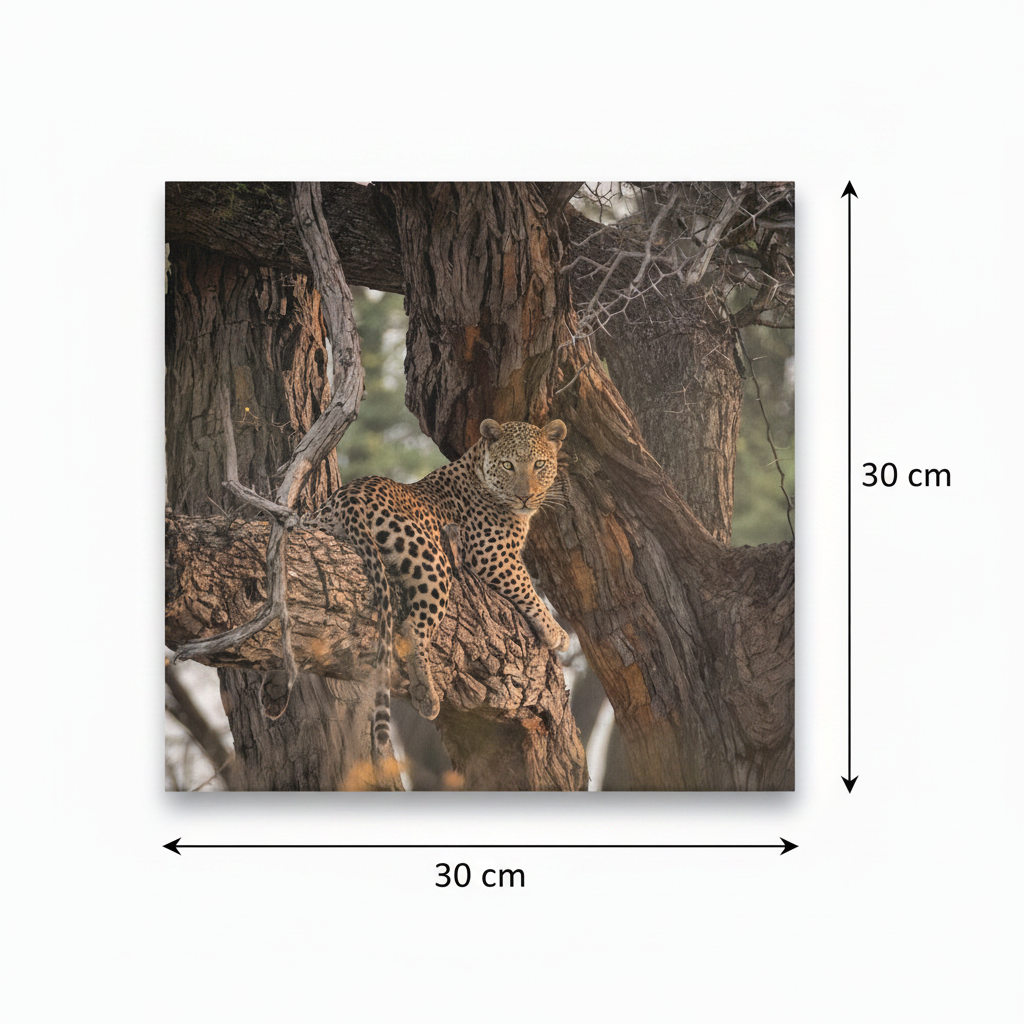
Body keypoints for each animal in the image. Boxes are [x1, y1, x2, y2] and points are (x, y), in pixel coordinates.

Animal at [302, 418, 570, 767]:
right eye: (509, 465)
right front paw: (555, 632)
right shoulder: (493, 556)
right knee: (411, 627)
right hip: (431, 558)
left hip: (319, 523)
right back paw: (426, 695)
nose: (525, 497)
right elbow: (526, 588)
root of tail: (350, 494)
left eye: (539, 465)